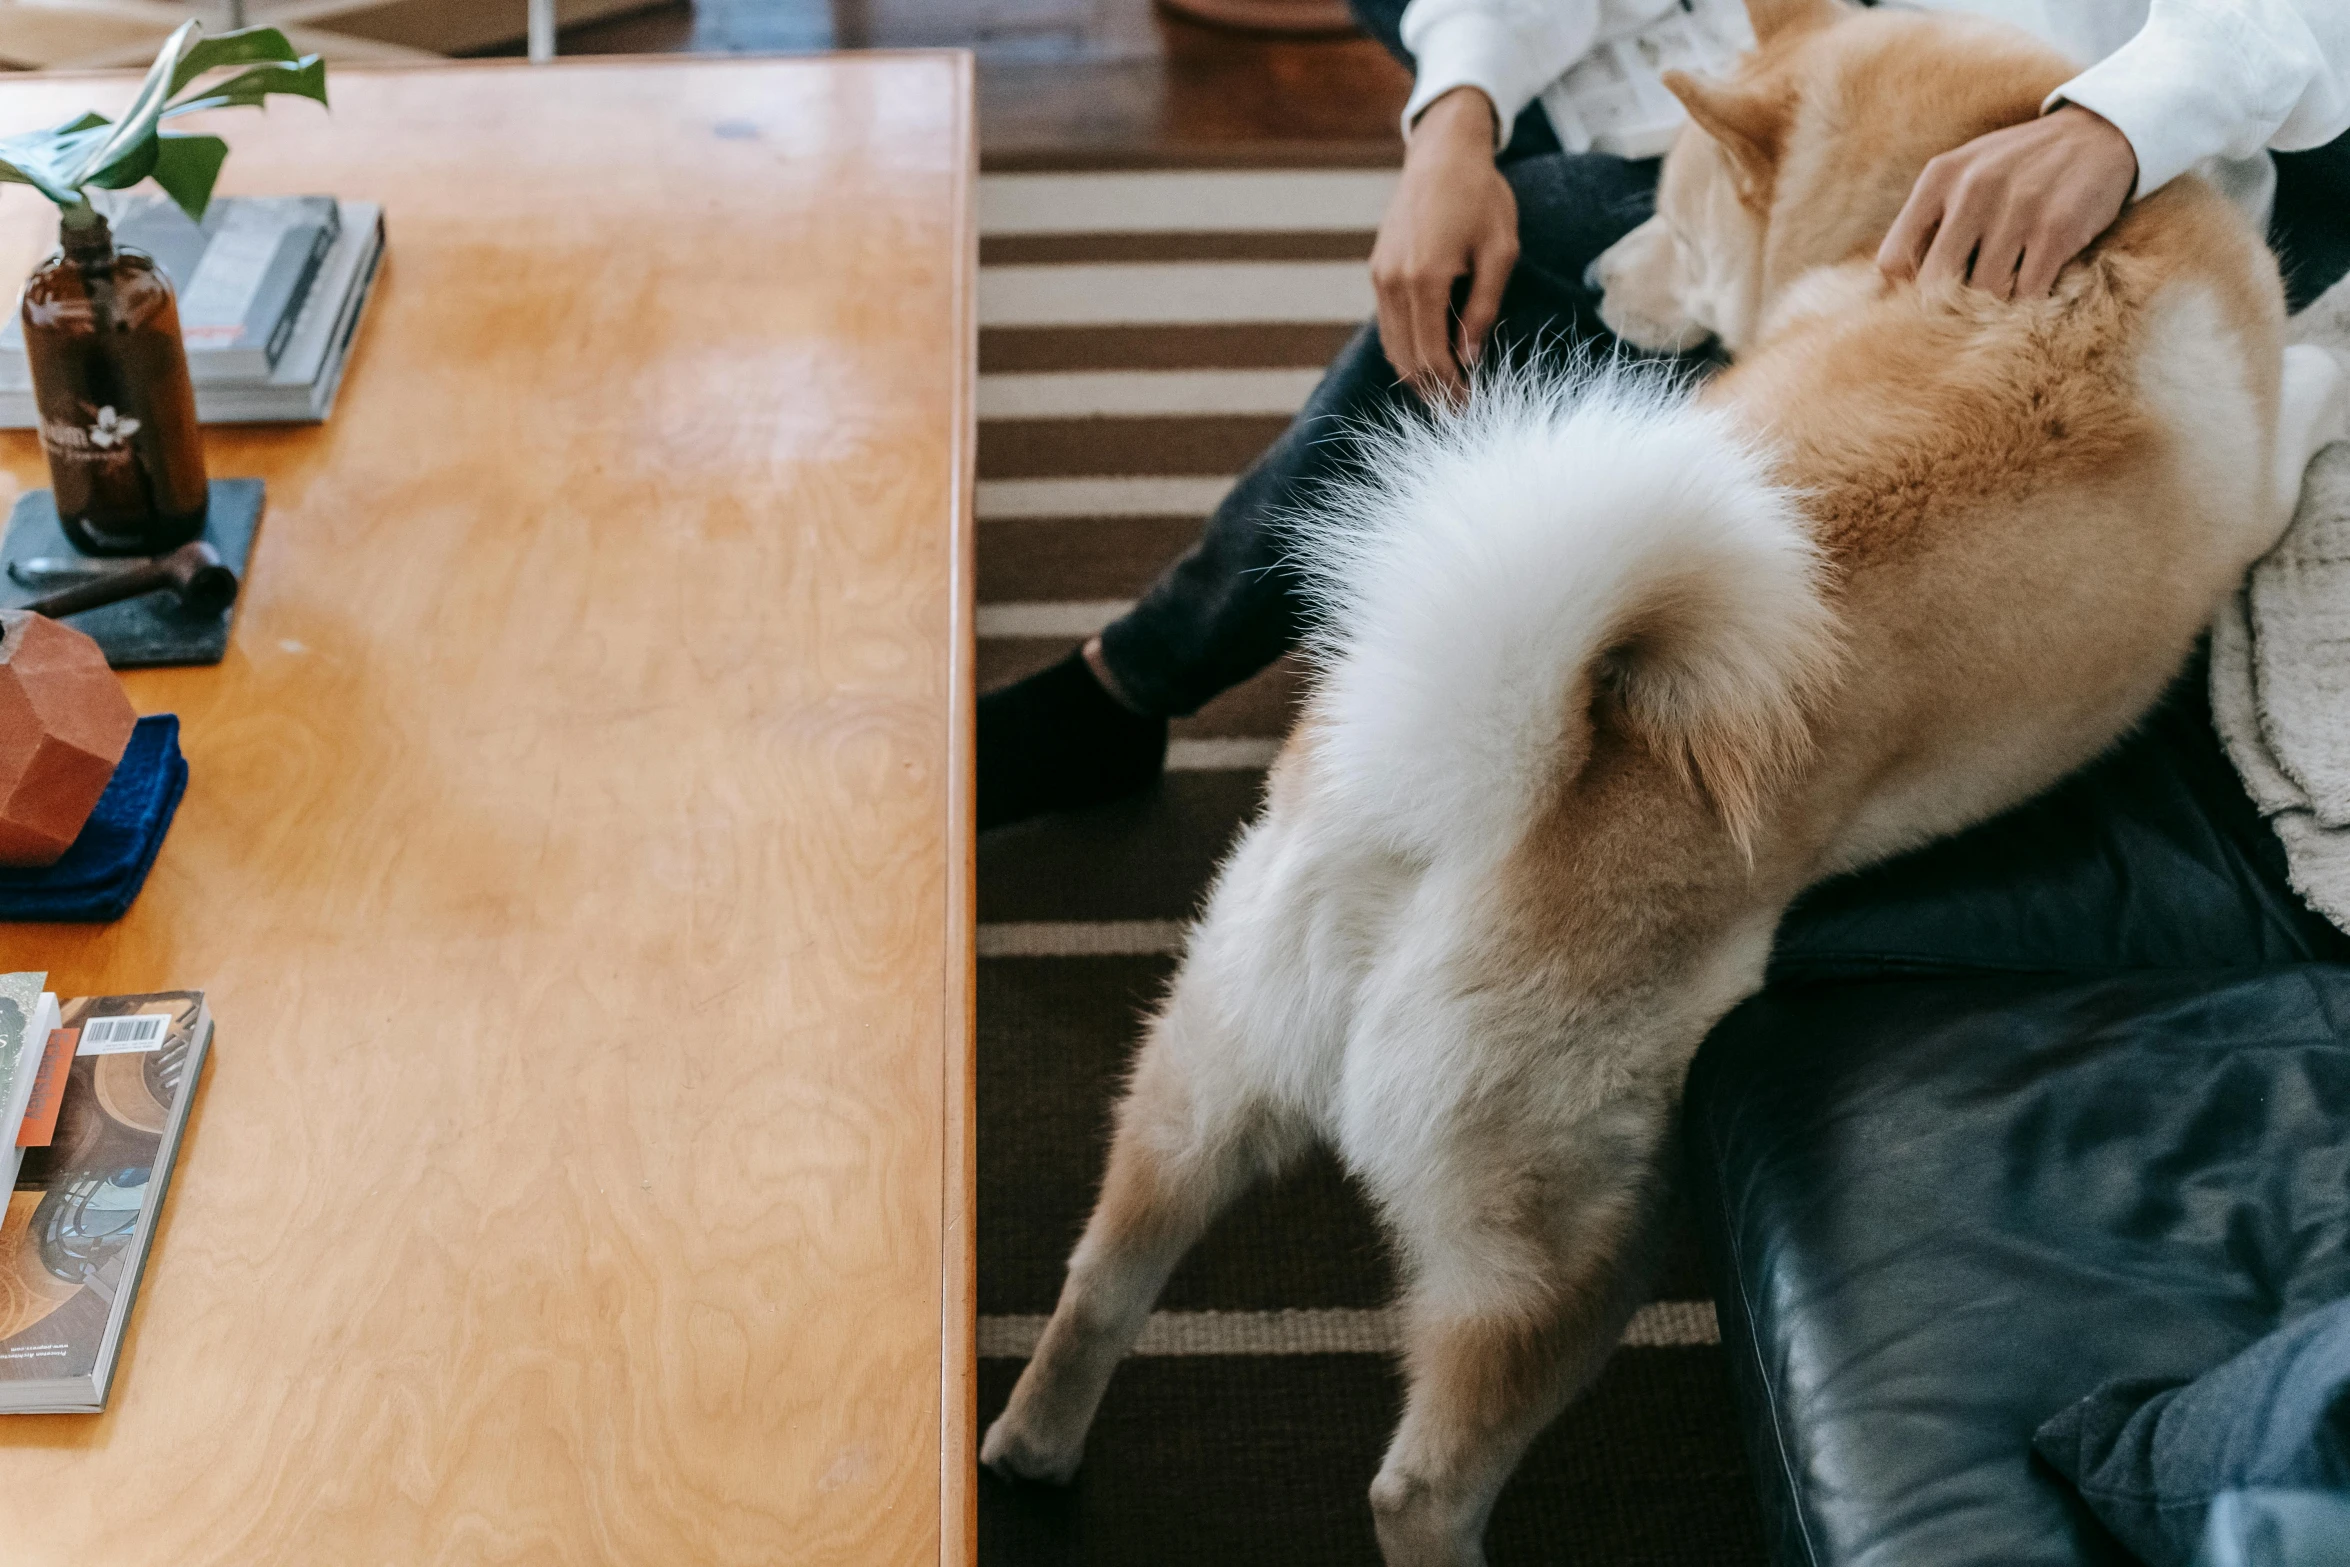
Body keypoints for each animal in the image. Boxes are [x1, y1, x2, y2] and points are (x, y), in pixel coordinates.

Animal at [982, 3, 2340, 1567]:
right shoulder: (2262, 469)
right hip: (1576, 1227)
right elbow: (2315, 369)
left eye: (1675, 219)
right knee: (1418, 1483)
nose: (1594, 281)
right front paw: (2334, 339)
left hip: (1203, 1077)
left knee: (1101, 1272)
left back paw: (1030, 1446)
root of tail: (1477, 783)